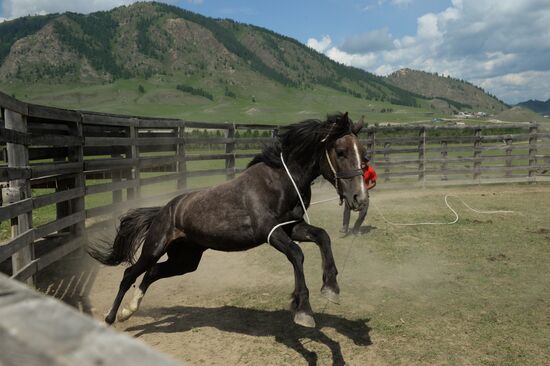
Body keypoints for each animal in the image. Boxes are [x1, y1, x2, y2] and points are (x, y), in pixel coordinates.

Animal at [89, 111, 366, 326]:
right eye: (340, 151)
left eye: (363, 152)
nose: (359, 197)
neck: (279, 181)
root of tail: (164, 210)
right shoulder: (271, 232)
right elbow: (297, 254)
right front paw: (303, 310)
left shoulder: (291, 228)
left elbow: (322, 236)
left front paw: (331, 288)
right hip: (155, 248)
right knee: (130, 274)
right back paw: (112, 316)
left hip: (185, 259)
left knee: (152, 273)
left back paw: (129, 311)